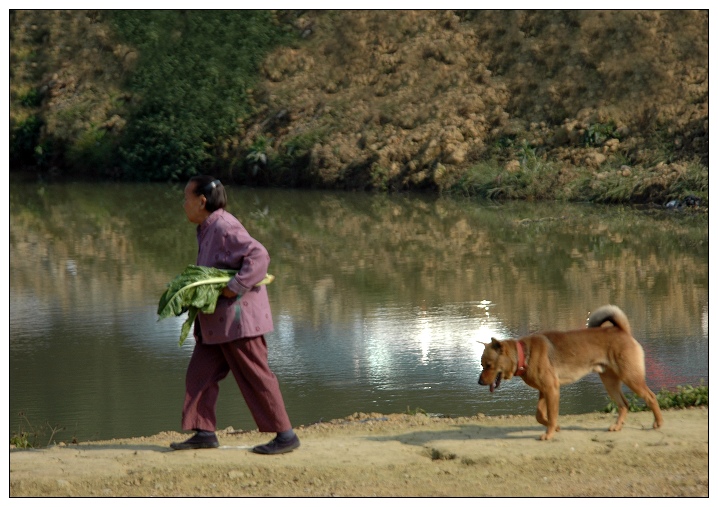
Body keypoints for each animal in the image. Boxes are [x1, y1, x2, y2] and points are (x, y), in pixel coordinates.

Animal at [480, 306, 668, 440]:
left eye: (488, 365)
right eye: (482, 365)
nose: (479, 382)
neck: (524, 354)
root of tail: (622, 330)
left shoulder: (552, 390)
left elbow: (551, 415)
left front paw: (549, 433)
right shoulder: (545, 390)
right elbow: (540, 415)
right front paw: (555, 427)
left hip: (631, 377)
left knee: (651, 397)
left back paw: (658, 422)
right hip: (610, 382)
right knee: (624, 404)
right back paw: (617, 426)